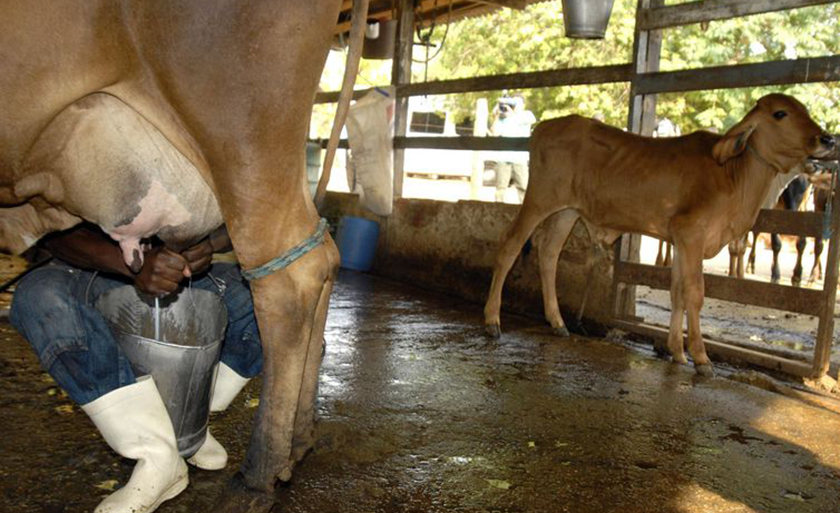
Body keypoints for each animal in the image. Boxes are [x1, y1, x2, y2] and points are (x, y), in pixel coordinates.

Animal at [486, 94, 832, 374]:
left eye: (805, 110)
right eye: (780, 114)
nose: (827, 139)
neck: (734, 174)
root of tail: (544, 127)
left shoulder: (680, 241)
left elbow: (677, 291)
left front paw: (677, 352)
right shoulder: (691, 235)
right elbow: (694, 293)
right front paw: (701, 357)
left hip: (566, 211)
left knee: (549, 253)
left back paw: (557, 322)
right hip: (539, 199)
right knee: (510, 246)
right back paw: (493, 320)